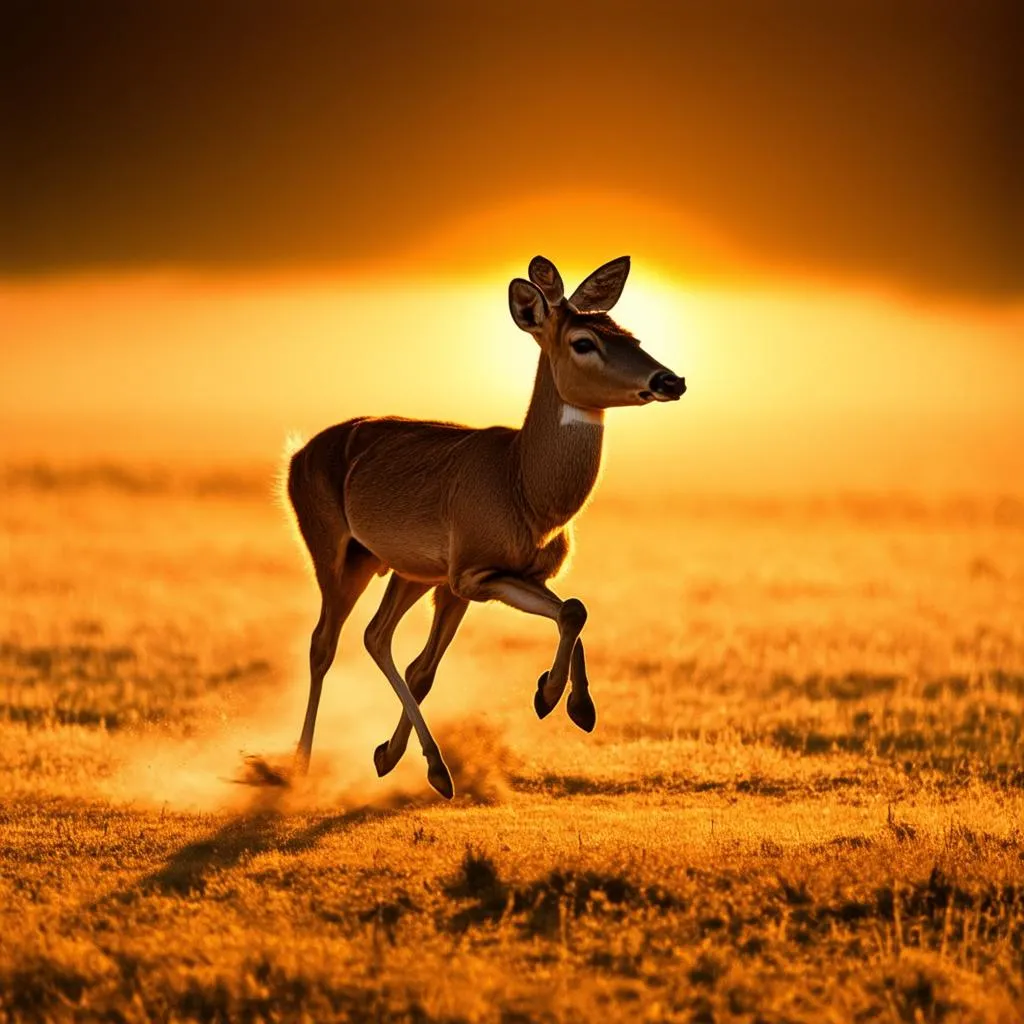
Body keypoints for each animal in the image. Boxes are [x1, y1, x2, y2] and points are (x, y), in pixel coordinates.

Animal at [286, 256, 688, 798]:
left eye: (630, 334)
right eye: (584, 341)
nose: (671, 381)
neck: (525, 488)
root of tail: (297, 455)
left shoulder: (497, 578)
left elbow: (573, 609)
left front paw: (573, 705)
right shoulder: (476, 574)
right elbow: (570, 611)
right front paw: (551, 697)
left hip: (408, 572)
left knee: (381, 639)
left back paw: (405, 762)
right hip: (336, 553)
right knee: (324, 643)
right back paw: (300, 767)